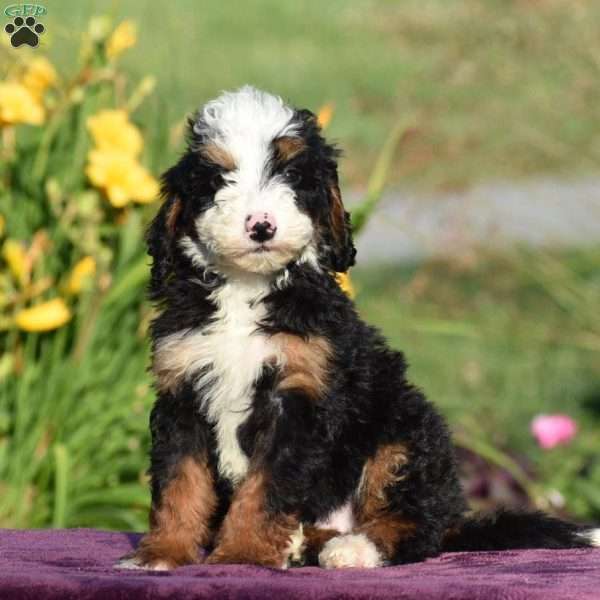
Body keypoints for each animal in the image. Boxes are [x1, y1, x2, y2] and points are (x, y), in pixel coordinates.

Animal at [123, 85, 600, 572]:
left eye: (291, 174)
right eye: (219, 180)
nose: (261, 226)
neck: (246, 290)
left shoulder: (297, 396)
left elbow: (266, 488)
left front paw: (242, 555)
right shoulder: (182, 391)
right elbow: (179, 483)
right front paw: (164, 553)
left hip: (401, 431)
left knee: (414, 526)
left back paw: (354, 547)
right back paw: (302, 544)